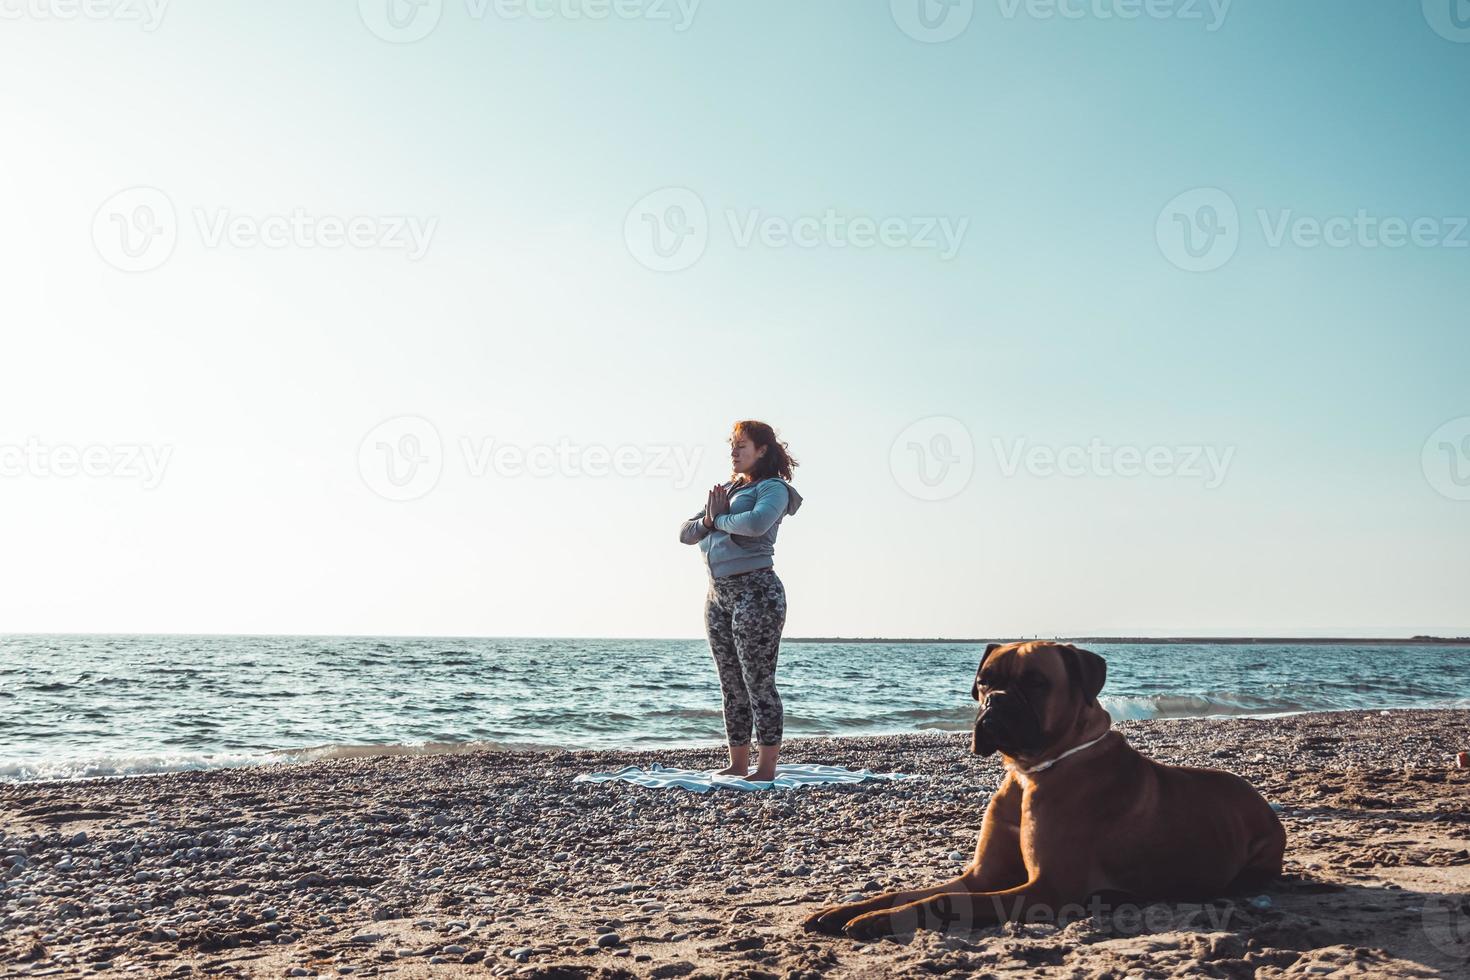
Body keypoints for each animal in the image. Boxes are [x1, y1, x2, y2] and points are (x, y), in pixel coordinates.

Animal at [805, 640, 1287, 940]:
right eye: (984, 679)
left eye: (1036, 682)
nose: (994, 701)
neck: (1030, 771)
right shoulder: (981, 877)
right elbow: (912, 890)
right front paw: (850, 909)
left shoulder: (1045, 890)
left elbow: (941, 900)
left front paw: (881, 921)